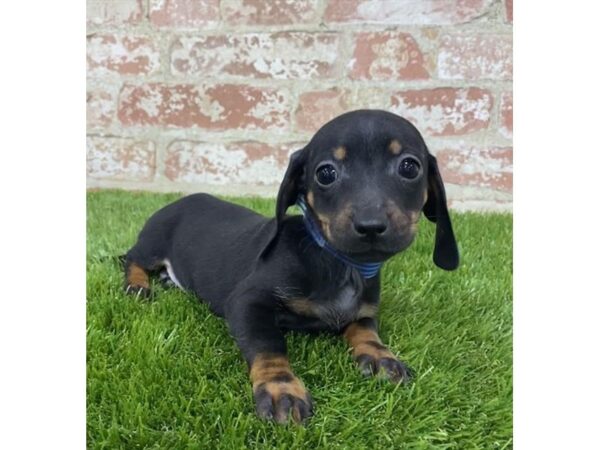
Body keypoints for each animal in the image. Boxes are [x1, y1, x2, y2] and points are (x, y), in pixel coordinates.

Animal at [123, 110, 460, 426]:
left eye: (409, 167)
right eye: (326, 173)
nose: (371, 225)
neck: (339, 263)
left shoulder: (364, 311)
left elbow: (365, 331)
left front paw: (380, 356)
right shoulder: (247, 302)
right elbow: (269, 345)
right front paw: (280, 388)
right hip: (152, 243)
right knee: (129, 258)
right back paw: (138, 285)